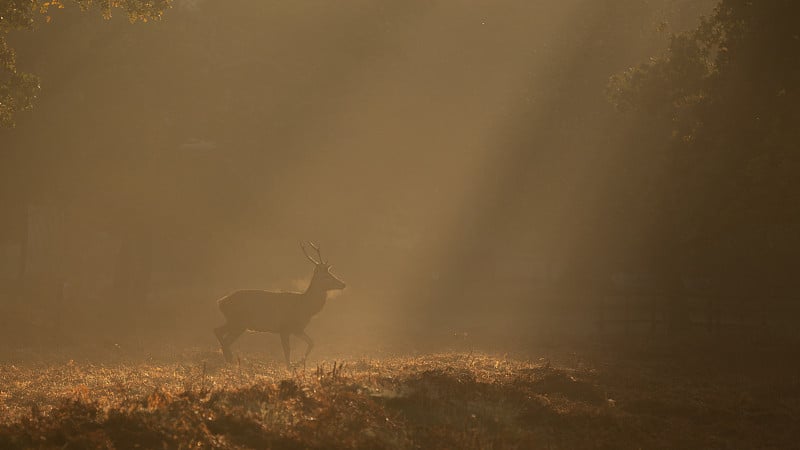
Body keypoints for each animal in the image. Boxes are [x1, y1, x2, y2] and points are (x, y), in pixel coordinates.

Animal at [214, 243, 346, 370]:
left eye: (330, 273)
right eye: (326, 276)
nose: (343, 284)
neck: (304, 306)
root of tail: (221, 302)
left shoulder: (297, 329)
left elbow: (312, 342)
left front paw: (298, 363)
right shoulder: (284, 328)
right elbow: (287, 350)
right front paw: (291, 366)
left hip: (236, 323)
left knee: (223, 336)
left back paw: (229, 359)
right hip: (238, 321)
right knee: (220, 333)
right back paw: (229, 358)